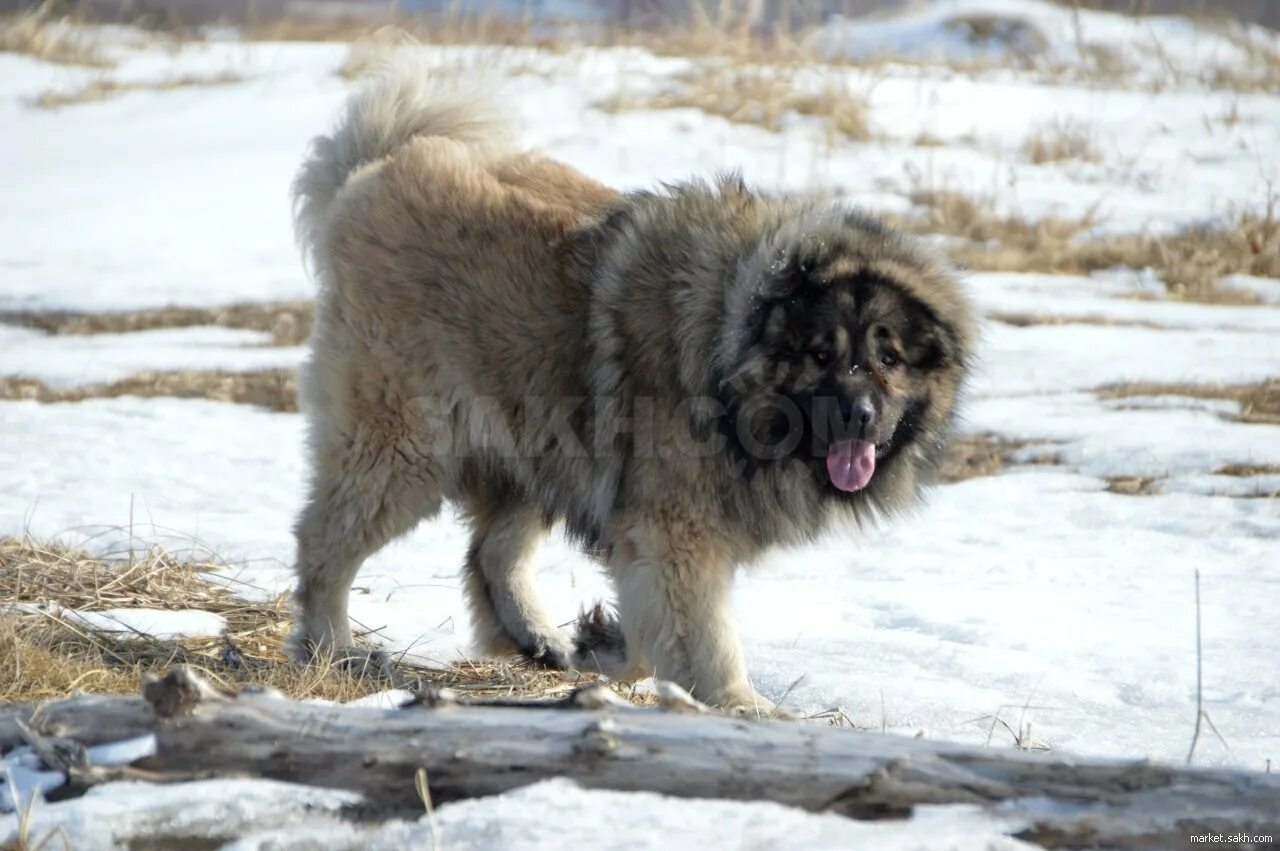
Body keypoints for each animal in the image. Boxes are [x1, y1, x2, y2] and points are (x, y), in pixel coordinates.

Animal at [288, 64, 967, 711]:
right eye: (821, 354)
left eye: (888, 357)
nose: (860, 415)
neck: (728, 352)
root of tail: (378, 166)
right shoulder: (675, 532)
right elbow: (701, 634)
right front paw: (742, 704)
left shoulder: (644, 527)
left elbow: (650, 629)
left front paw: (602, 645)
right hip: (405, 448)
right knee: (325, 542)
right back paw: (332, 647)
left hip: (542, 432)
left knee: (491, 554)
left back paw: (533, 637)